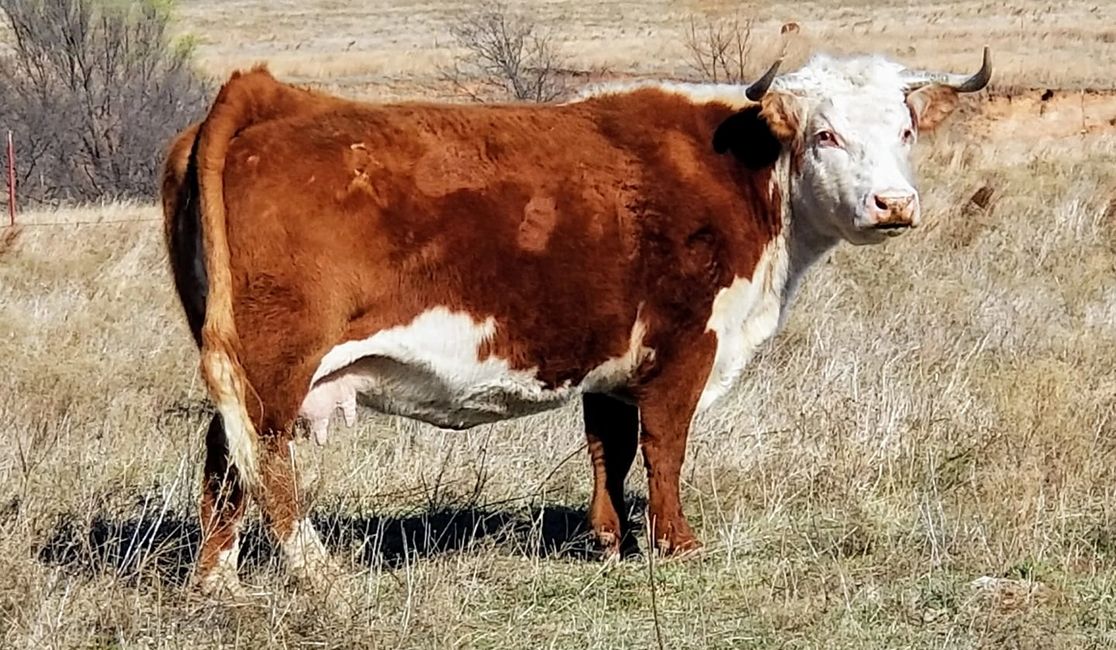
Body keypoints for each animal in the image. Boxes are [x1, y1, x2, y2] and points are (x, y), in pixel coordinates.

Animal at [162, 47, 991, 595]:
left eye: (905, 132)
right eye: (826, 135)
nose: (893, 204)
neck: (747, 173)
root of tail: (268, 96)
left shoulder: (612, 360)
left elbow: (608, 450)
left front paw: (611, 540)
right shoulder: (684, 345)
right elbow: (663, 447)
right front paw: (677, 544)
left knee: (223, 458)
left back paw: (214, 581)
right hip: (274, 362)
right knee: (253, 455)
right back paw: (302, 571)